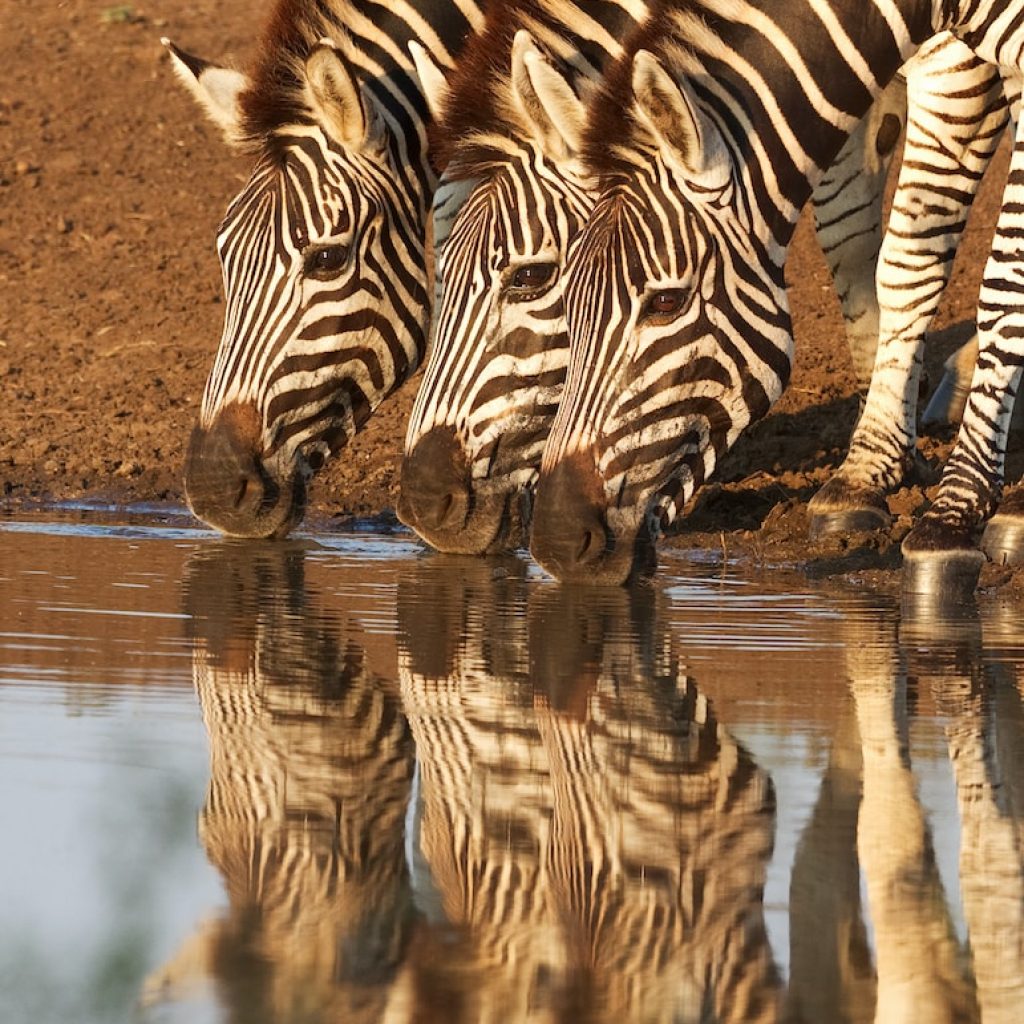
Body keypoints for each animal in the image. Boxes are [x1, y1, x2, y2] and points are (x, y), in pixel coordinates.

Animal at [529, 0, 1024, 592]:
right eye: (564, 299)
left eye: (666, 303)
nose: (556, 542)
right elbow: (900, 256)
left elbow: (1000, 280)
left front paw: (952, 515)